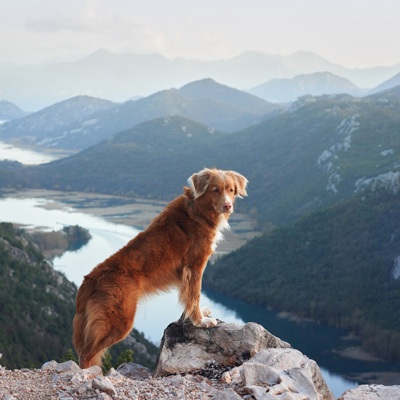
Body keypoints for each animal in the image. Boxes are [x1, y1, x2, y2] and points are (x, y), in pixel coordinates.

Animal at [72, 167, 247, 368]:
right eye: (215, 190)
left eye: (231, 190)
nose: (228, 206)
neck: (198, 209)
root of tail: (89, 280)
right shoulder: (195, 265)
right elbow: (194, 294)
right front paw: (200, 321)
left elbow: (189, 298)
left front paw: (195, 315)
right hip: (119, 321)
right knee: (86, 354)